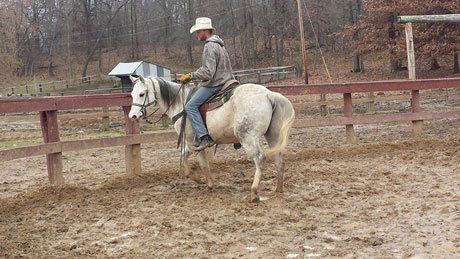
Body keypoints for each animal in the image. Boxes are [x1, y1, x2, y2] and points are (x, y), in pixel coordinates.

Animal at [128, 75, 294, 203]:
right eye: (132, 94)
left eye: (142, 94)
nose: (133, 116)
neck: (181, 104)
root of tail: (268, 95)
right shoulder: (192, 143)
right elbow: (185, 157)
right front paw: (196, 178)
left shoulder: (192, 141)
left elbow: (202, 163)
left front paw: (207, 184)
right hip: (273, 135)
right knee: (279, 159)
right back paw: (278, 188)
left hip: (248, 137)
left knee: (260, 159)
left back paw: (254, 193)